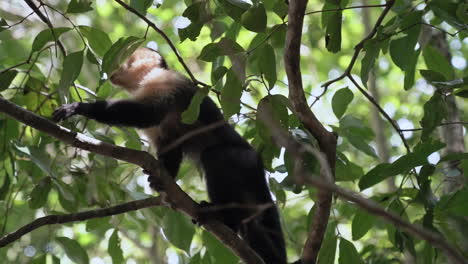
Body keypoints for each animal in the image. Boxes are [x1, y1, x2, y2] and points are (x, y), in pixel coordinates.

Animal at [51, 46, 286, 262]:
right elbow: (170, 146)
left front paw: (80, 107)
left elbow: (149, 114)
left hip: (240, 159)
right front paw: (161, 181)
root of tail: (258, 161)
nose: (112, 71)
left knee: (214, 157)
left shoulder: (164, 81)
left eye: (123, 60)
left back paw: (223, 216)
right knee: (253, 224)